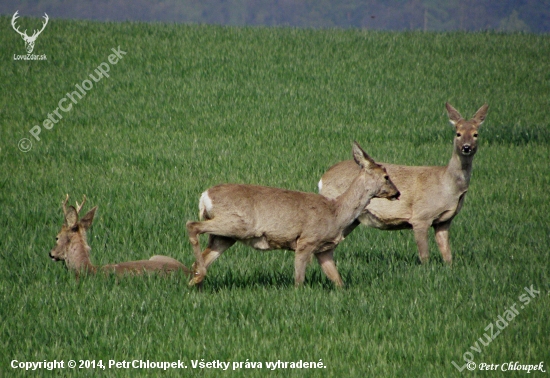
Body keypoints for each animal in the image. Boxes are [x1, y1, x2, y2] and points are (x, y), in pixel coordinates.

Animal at [187, 141, 402, 286]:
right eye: (386, 176)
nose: (397, 193)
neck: (336, 212)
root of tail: (205, 196)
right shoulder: (306, 240)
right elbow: (299, 280)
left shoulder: (325, 250)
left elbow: (337, 280)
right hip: (238, 224)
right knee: (192, 225)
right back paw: (199, 276)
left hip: (226, 236)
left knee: (204, 254)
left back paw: (195, 282)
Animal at [320, 102, 492, 264]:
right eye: (458, 133)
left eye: (476, 134)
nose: (466, 147)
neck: (449, 186)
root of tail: (322, 179)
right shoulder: (421, 216)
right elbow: (424, 255)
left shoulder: (444, 221)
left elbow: (447, 255)